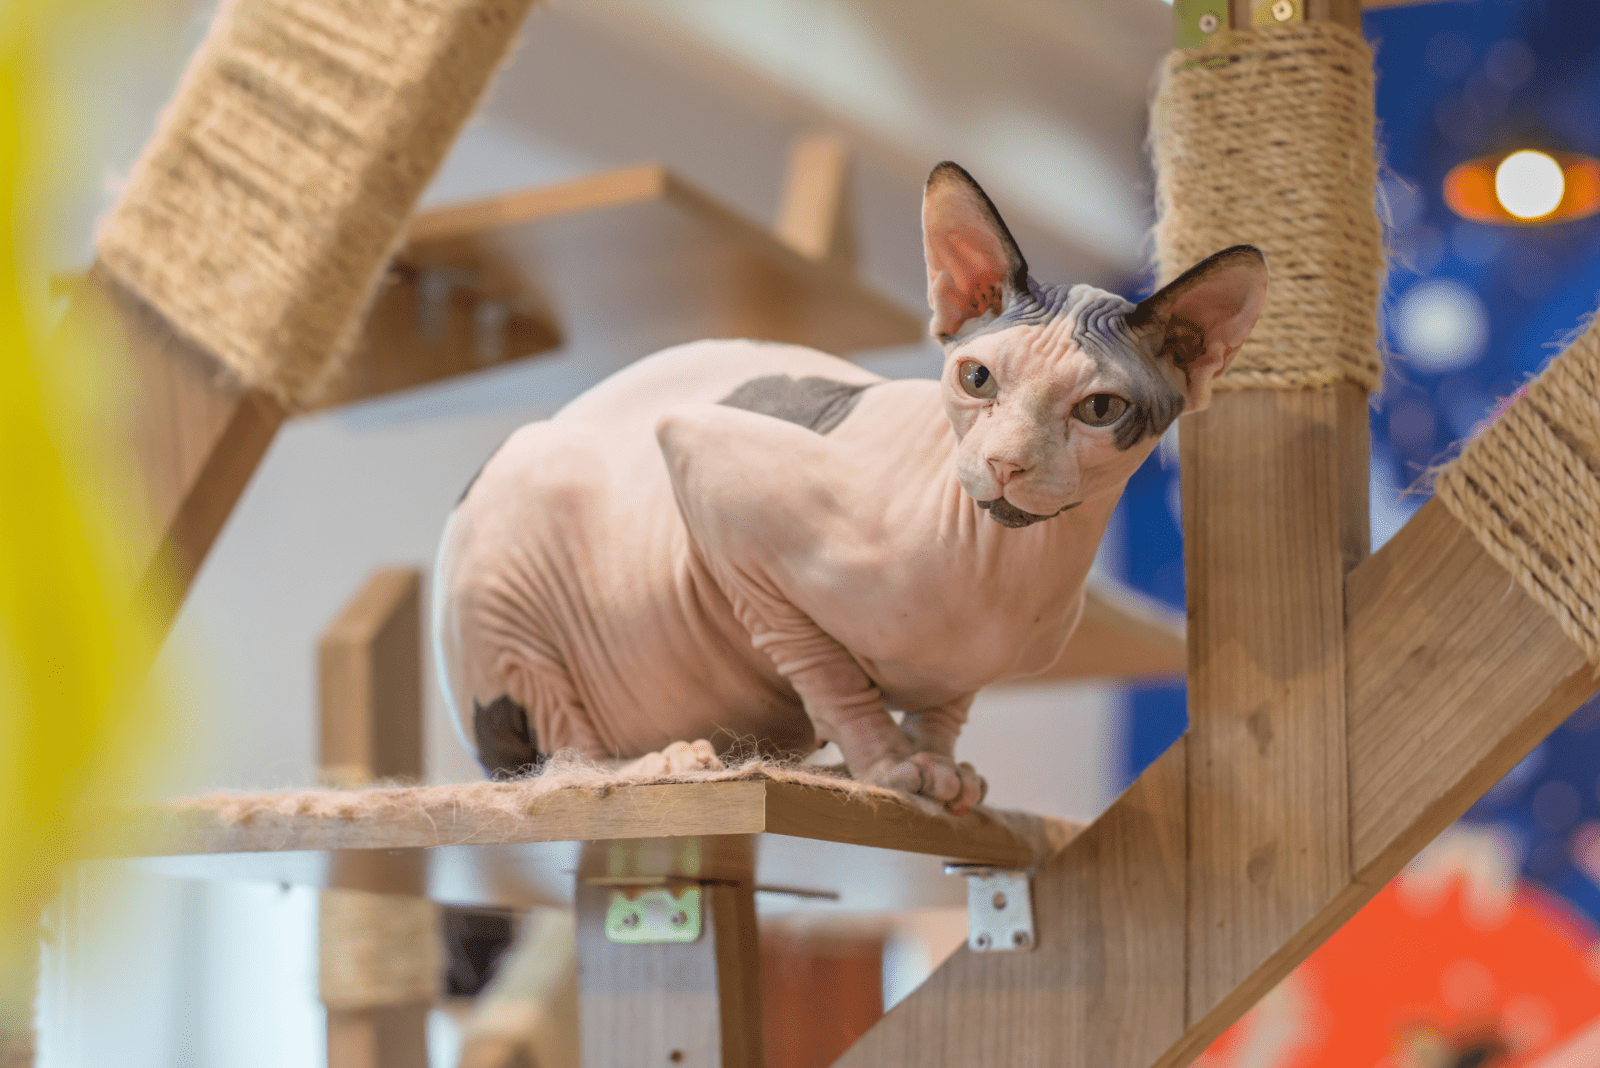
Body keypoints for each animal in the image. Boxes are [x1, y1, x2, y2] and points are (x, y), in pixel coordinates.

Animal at [435, 163, 1260, 818]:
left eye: (1099, 410)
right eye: (977, 379)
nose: (1005, 464)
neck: (994, 566)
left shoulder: (970, 670)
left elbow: (945, 704)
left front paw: (940, 766)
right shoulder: (708, 466)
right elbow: (828, 672)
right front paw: (888, 763)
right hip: (511, 568)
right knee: (555, 758)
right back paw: (664, 761)